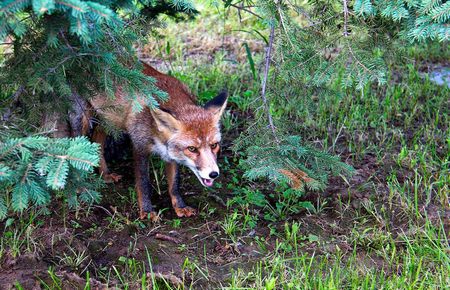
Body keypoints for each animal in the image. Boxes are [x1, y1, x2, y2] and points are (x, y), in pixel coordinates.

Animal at [89, 64, 227, 221]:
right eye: (192, 149)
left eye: (214, 145)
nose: (214, 174)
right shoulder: (140, 147)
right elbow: (143, 183)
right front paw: (147, 210)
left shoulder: (171, 154)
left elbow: (174, 184)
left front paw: (180, 206)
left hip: (109, 121)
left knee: (96, 140)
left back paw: (104, 174)